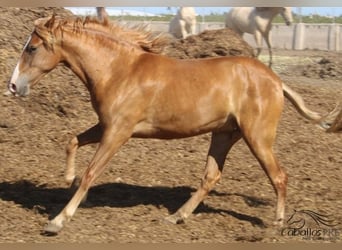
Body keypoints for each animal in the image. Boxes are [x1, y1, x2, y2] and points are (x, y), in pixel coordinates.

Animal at [8, 15, 340, 234]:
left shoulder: (118, 132)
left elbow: (92, 172)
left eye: (32, 48)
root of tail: (276, 80)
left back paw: (277, 223)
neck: (119, 70)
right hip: (224, 134)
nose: (13, 86)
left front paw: (57, 220)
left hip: (257, 136)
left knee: (279, 176)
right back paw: (176, 217)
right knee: (210, 177)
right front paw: (68, 178)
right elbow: (72, 141)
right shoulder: (106, 126)